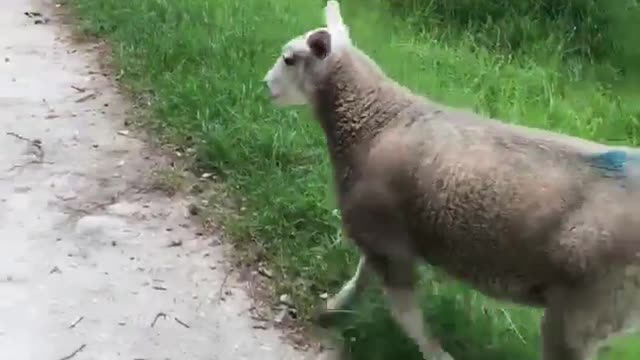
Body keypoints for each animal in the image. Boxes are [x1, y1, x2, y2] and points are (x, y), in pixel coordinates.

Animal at [262, 1, 640, 358]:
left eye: (289, 59)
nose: (265, 85)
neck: (375, 120)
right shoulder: (386, 235)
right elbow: (363, 279)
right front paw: (333, 309)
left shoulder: (383, 233)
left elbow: (406, 313)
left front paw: (436, 353)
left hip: (585, 309)